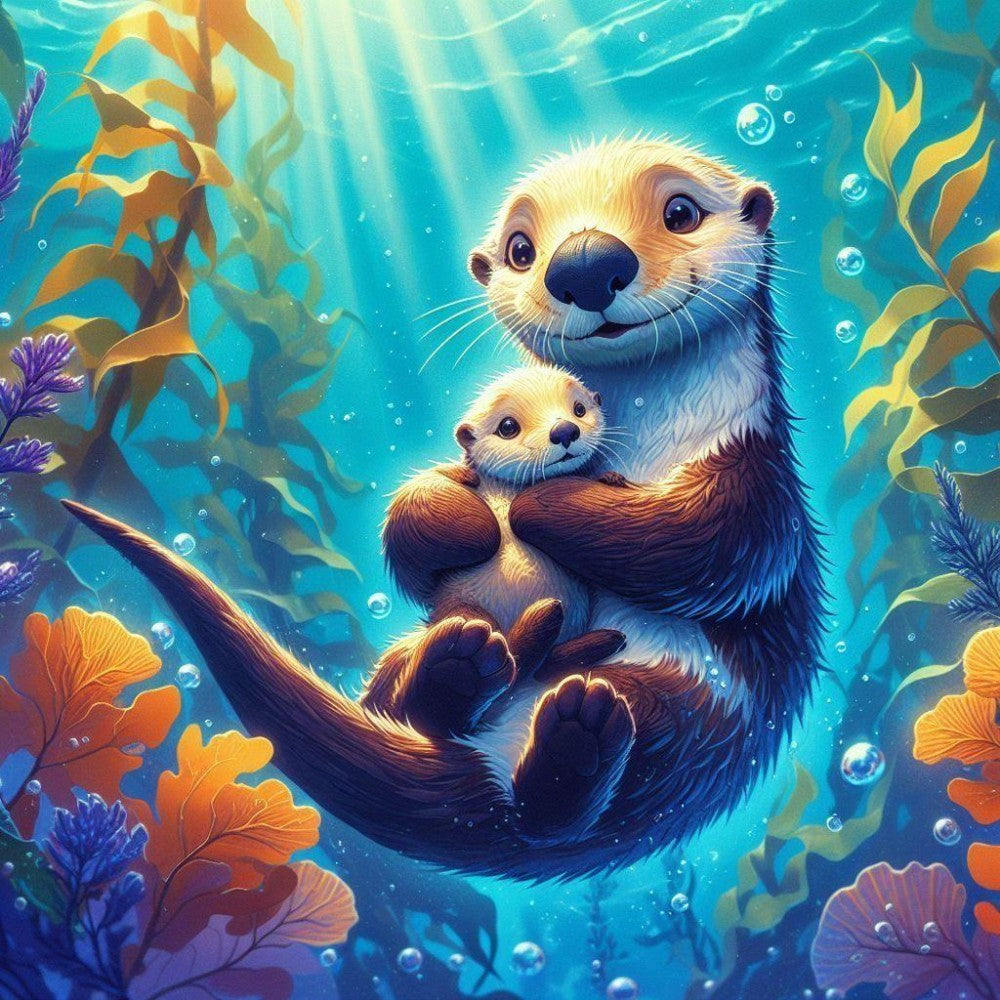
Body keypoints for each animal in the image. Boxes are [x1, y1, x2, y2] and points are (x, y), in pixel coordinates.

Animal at [63, 135, 825, 881]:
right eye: (521, 248)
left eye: (681, 211)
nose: (585, 261)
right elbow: (414, 522)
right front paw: (473, 514)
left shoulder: (754, 476)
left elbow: (711, 547)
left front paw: (546, 503)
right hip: (408, 657)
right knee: (408, 701)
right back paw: (464, 670)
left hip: (690, 714)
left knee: (573, 797)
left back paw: (576, 731)